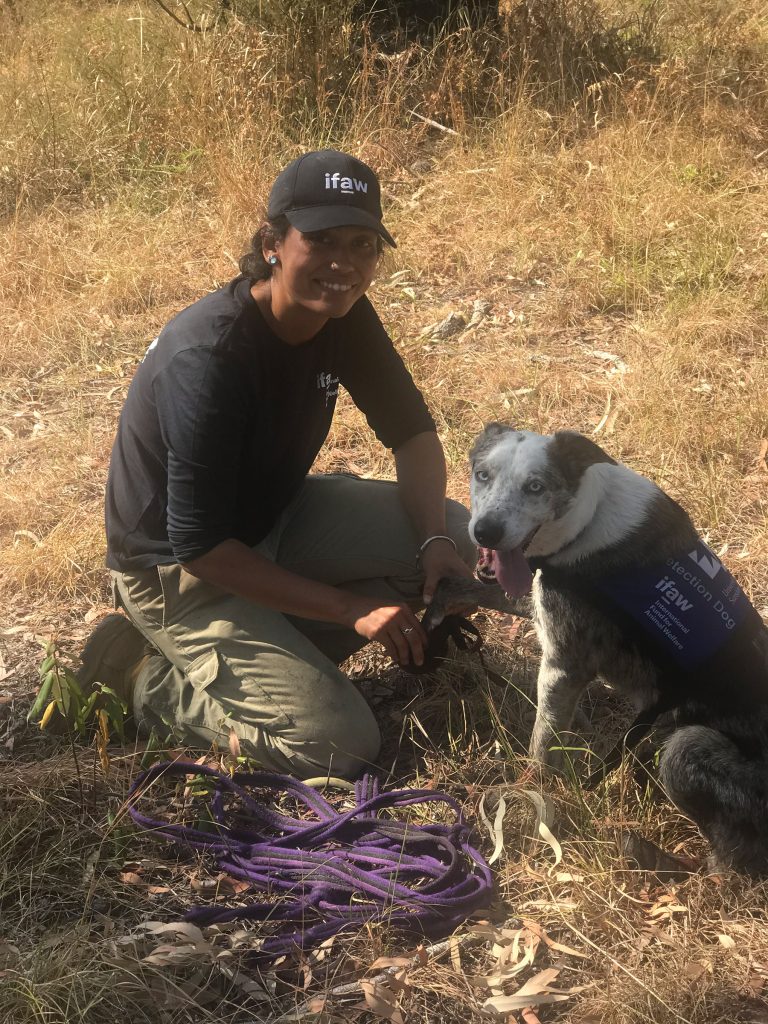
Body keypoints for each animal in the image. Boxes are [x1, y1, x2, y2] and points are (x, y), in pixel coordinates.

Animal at [466, 421, 768, 872]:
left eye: (536, 487)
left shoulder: (563, 663)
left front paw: (526, 793)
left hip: (687, 746)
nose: (485, 531)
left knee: (727, 864)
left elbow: (541, 739)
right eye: (482, 475)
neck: (583, 524)